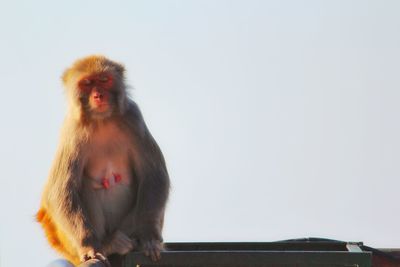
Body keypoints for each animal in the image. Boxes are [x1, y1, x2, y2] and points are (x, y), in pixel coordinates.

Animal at [36, 55, 170, 266]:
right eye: (87, 83)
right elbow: (61, 190)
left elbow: (153, 175)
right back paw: (109, 244)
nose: (98, 95)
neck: (102, 120)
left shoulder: (133, 117)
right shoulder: (72, 130)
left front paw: (148, 238)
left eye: (104, 80)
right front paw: (89, 246)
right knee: (80, 184)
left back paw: (135, 240)